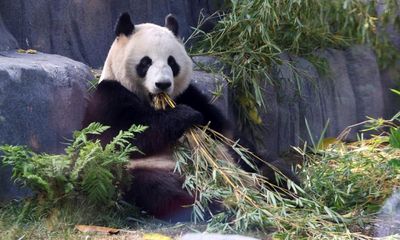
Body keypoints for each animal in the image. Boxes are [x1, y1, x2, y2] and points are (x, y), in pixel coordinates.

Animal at [83, 12, 298, 222]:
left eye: (171, 62)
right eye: (145, 62)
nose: (163, 84)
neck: (155, 102)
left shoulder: (189, 95)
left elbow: (222, 129)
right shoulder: (110, 98)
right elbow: (121, 138)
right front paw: (185, 116)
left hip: (236, 160)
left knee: (269, 165)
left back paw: (276, 185)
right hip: (149, 171)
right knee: (163, 190)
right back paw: (222, 205)